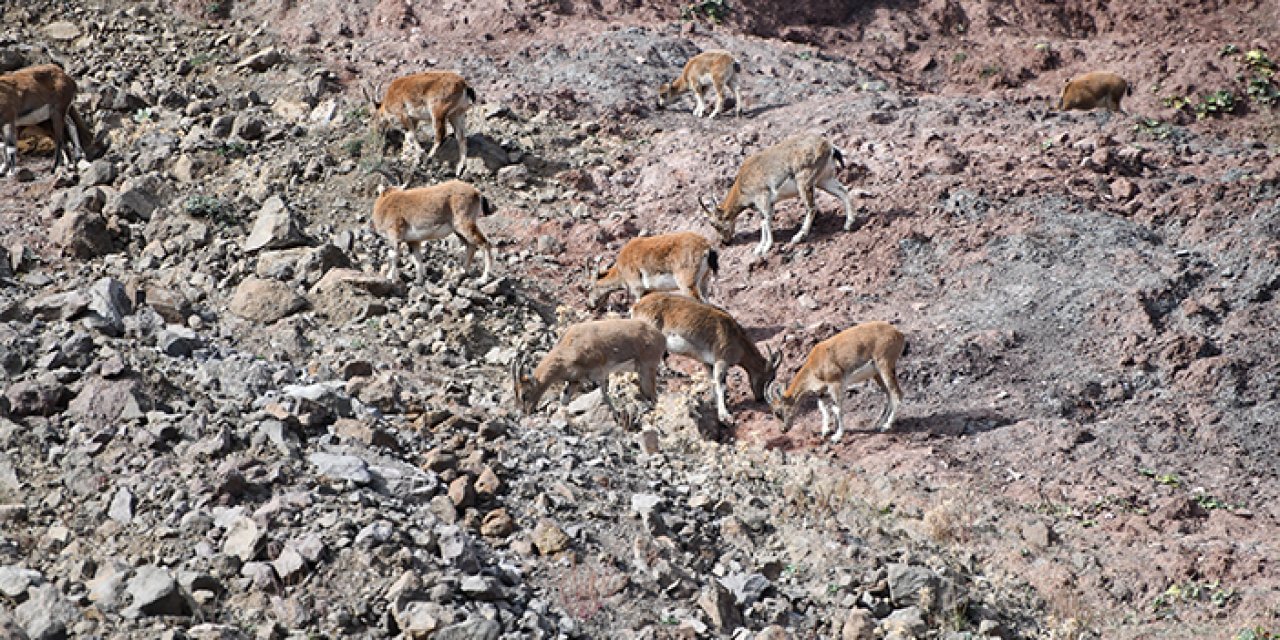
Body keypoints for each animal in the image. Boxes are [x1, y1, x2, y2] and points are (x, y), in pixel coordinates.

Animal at [512, 318, 670, 419]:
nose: (525, 413)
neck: (569, 347)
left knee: (654, 398)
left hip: (647, 370)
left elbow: (605, 397)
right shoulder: (574, 381)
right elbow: (564, 400)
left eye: (525, 394)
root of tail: (661, 337)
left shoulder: (599, 375)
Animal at [588, 231, 721, 308]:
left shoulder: (638, 288)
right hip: (704, 280)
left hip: (686, 283)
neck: (621, 269)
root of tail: (707, 247)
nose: (591, 305)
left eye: (588, 288)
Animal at [629, 293, 778, 422]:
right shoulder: (721, 360)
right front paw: (724, 415)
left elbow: (713, 382)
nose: (760, 398)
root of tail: (636, 307)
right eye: (767, 377)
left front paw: (713, 404)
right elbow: (720, 385)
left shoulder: (708, 363)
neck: (736, 338)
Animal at [706, 134, 855, 257]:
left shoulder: (763, 198)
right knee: (843, 192)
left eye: (715, 224)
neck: (742, 183)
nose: (725, 242)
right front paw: (759, 248)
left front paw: (766, 247)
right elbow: (763, 222)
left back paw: (798, 237)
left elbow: (767, 221)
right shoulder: (765, 204)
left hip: (804, 182)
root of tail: (829, 146)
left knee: (812, 208)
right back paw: (848, 224)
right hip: (824, 180)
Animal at [762, 322, 906, 442]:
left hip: (885, 366)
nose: (783, 429)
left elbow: (837, 409)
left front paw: (837, 436)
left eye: (777, 412)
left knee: (897, 394)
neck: (816, 362)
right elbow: (824, 408)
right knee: (888, 394)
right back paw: (880, 423)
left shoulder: (835, 384)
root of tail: (898, 333)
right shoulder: (821, 391)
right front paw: (826, 431)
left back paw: (886, 426)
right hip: (877, 374)